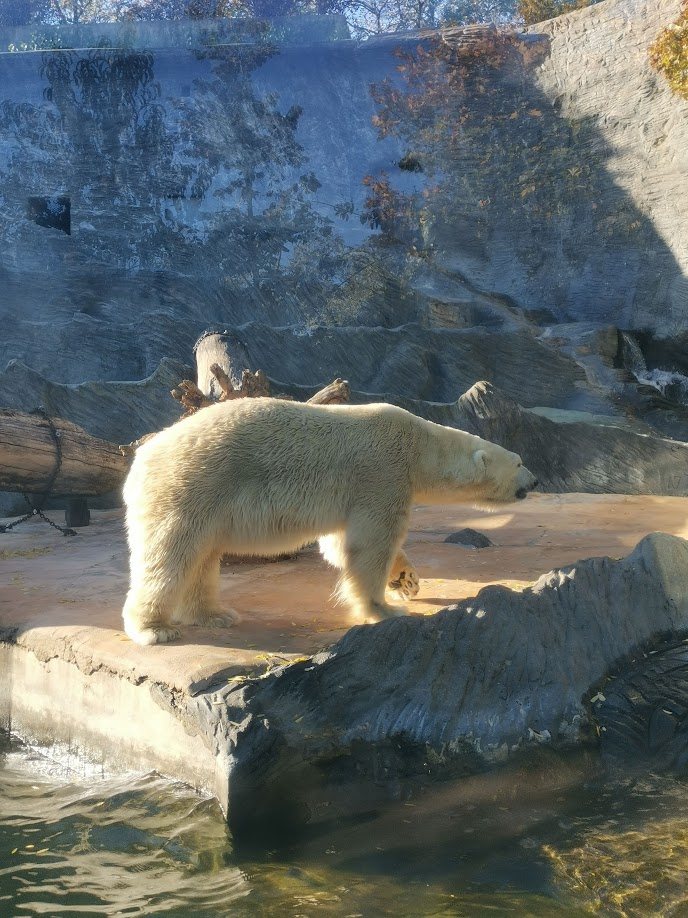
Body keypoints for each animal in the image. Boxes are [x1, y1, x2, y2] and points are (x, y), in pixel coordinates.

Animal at [122, 400, 536, 648]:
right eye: (518, 461)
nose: (533, 481)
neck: (418, 444)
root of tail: (140, 459)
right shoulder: (381, 473)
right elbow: (370, 543)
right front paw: (383, 610)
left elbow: (338, 544)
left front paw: (406, 580)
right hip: (190, 487)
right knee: (169, 556)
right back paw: (154, 628)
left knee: (201, 558)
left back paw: (215, 615)